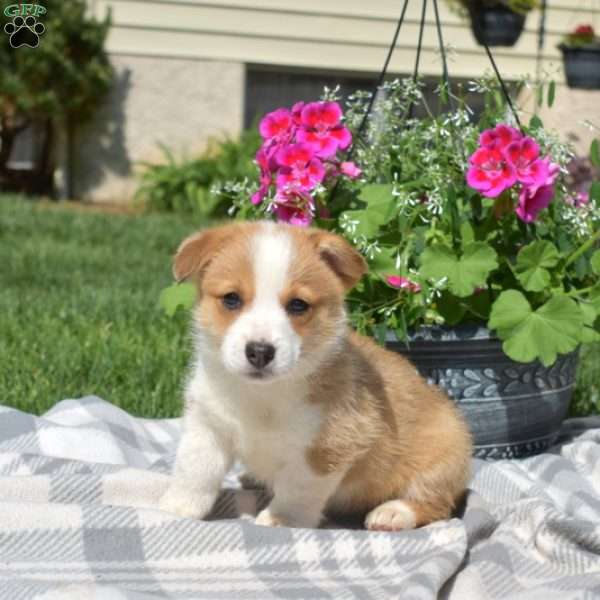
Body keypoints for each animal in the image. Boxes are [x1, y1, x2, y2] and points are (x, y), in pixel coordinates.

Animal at [159, 223, 474, 532]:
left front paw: (280, 519)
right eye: (231, 299)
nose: (260, 352)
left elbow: (297, 488)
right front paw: (174, 509)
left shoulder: (326, 448)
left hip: (442, 459)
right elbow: (194, 473)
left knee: (437, 504)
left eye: (298, 305)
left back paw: (393, 513)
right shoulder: (207, 427)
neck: (263, 394)